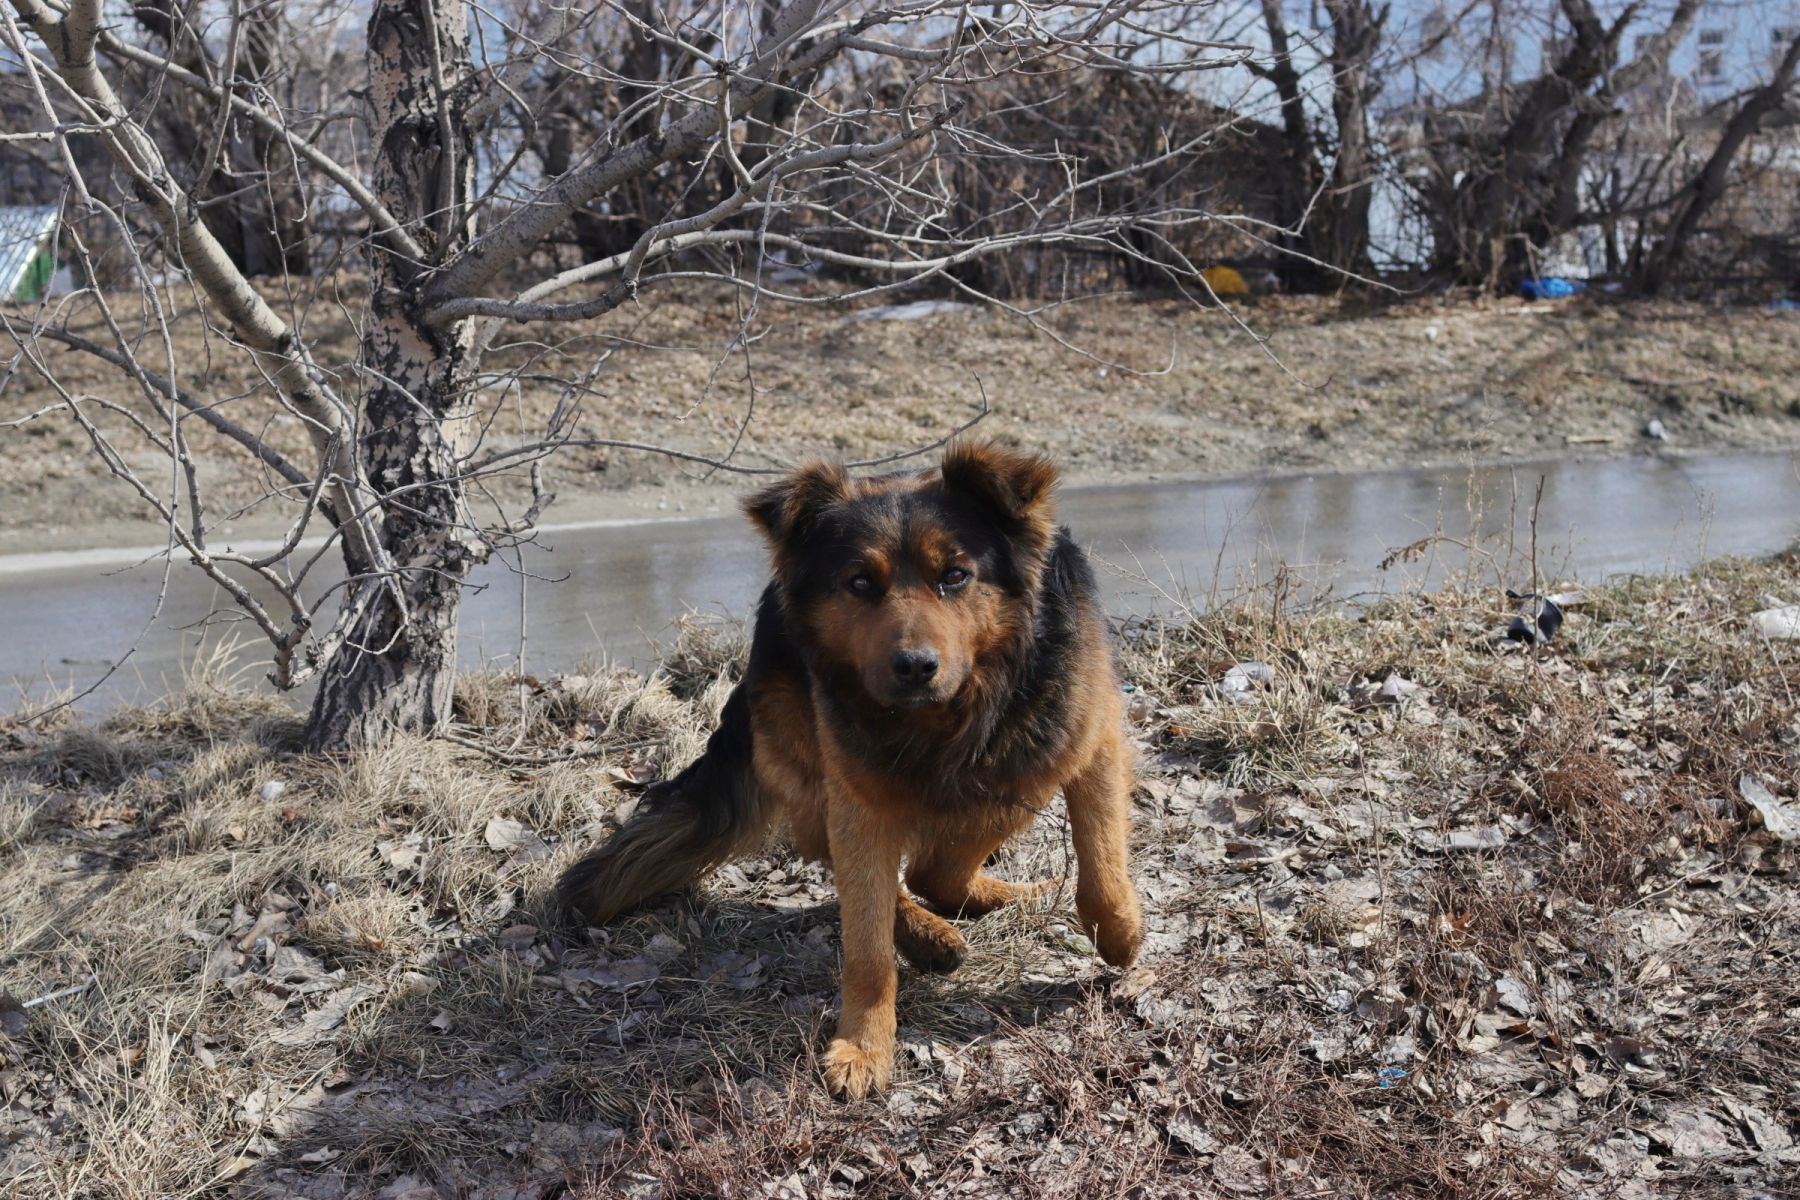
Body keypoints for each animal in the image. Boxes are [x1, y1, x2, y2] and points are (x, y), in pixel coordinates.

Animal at [558, 440, 1137, 1101]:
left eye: (955, 576)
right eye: (860, 583)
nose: (914, 666)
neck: (949, 715)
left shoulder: (1090, 740)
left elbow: (1102, 869)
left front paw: (1121, 938)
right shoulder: (859, 798)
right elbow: (866, 945)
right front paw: (864, 1046)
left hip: (1018, 770)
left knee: (940, 866)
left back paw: (993, 898)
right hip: (815, 757)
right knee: (870, 863)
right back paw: (929, 933)